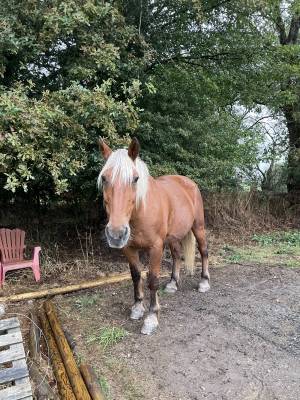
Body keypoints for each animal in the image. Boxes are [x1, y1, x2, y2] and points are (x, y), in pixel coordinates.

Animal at [98, 138, 209, 334]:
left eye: (135, 179)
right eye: (104, 178)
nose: (116, 234)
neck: (141, 211)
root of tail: (188, 182)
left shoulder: (156, 247)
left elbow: (152, 280)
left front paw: (151, 317)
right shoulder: (129, 248)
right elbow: (136, 275)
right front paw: (137, 307)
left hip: (198, 227)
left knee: (203, 250)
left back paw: (204, 282)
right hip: (173, 237)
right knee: (176, 255)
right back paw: (173, 283)